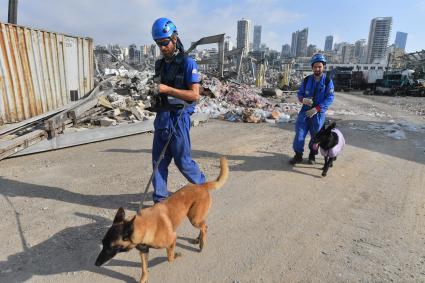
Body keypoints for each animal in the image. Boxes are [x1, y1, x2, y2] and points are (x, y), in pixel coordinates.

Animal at [95, 158, 229, 283]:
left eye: (110, 247)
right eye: (102, 243)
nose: (96, 264)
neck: (143, 226)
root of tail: (200, 185)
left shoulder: (172, 239)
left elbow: (169, 258)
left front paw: (176, 255)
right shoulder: (143, 251)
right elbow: (144, 268)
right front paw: (143, 279)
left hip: (194, 219)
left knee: (204, 227)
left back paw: (201, 243)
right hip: (196, 218)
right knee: (203, 225)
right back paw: (198, 239)